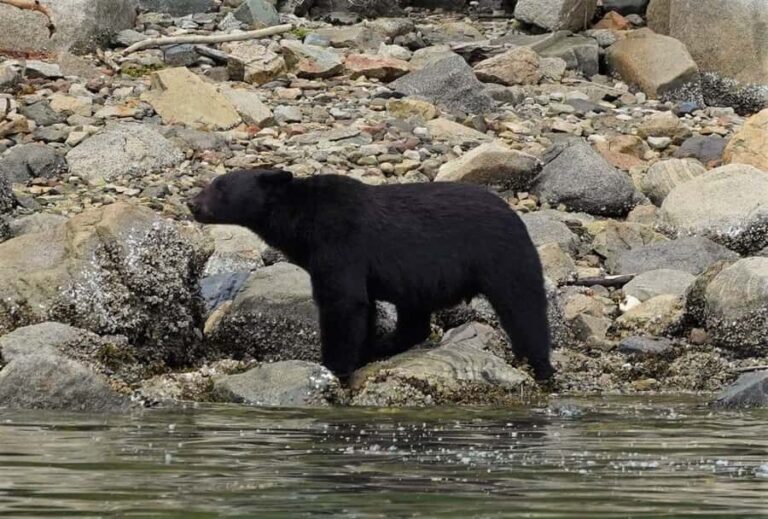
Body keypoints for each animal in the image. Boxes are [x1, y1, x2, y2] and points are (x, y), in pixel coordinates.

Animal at [188, 169, 555, 382]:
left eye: (220, 187)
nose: (191, 203)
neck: (301, 219)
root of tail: (517, 216)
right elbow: (361, 307)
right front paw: (360, 352)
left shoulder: (339, 240)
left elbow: (342, 302)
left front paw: (334, 367)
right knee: (414, 320)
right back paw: (383, 346)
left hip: (502, 257)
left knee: (524, 310)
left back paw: (541, 367)